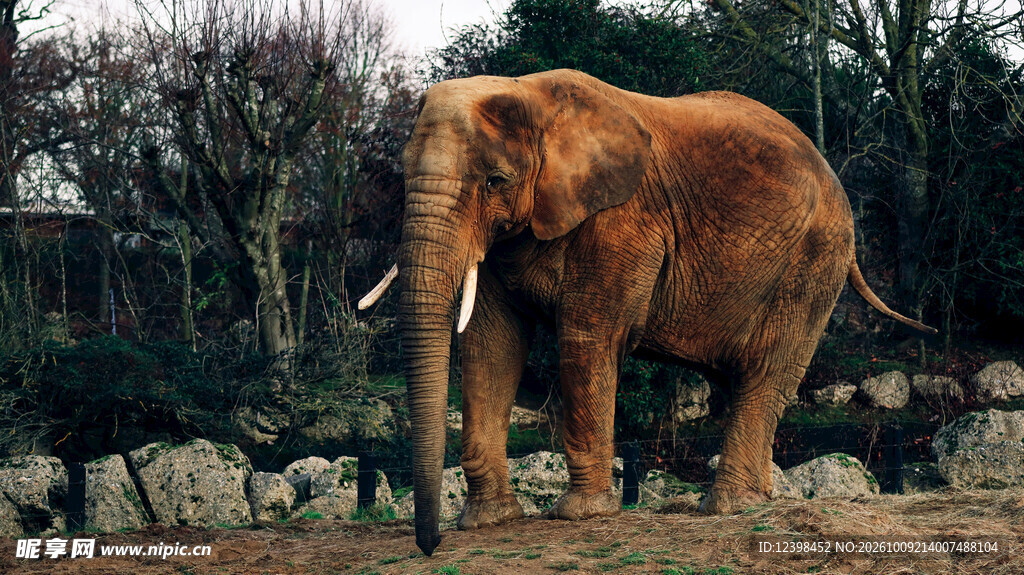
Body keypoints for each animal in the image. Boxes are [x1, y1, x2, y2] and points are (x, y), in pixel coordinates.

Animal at [359, 69, 935, 556]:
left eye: (496, 180)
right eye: (401, 175)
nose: (430, 545)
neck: (530, 94)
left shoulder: (624, 221)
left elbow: (586, 338)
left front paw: (580, 516)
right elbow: (490, 345)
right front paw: (487, 523)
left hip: (815, 261)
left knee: (766, 372)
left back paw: (726, 508)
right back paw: (745, 502)